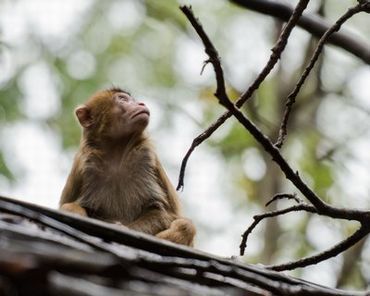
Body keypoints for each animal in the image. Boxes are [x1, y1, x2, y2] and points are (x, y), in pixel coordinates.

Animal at [59, 86, 195, 246]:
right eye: (123, 99)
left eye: (133, 100)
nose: (141, 103)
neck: (117, 152)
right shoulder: (87, 166)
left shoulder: (145, 158)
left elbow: (161, 212)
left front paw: (123, 228)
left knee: (185, 225)